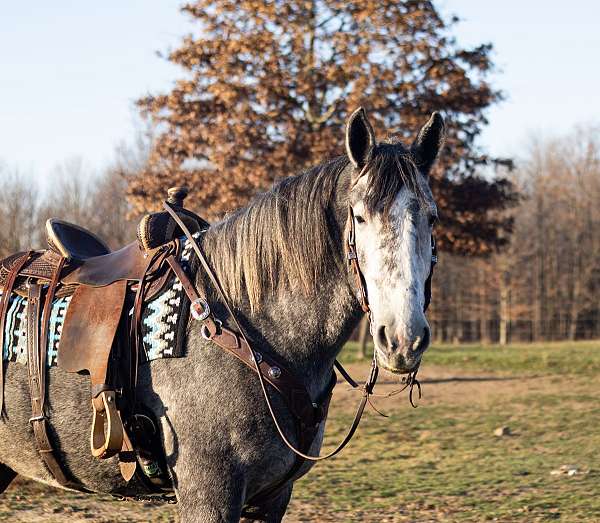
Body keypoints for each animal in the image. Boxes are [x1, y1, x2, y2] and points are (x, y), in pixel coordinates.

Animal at [0, 107, 442, 523]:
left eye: (431, 217)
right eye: (360, 215)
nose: (402, 339)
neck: (242, 328)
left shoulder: (272, 499)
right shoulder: (208, 496)